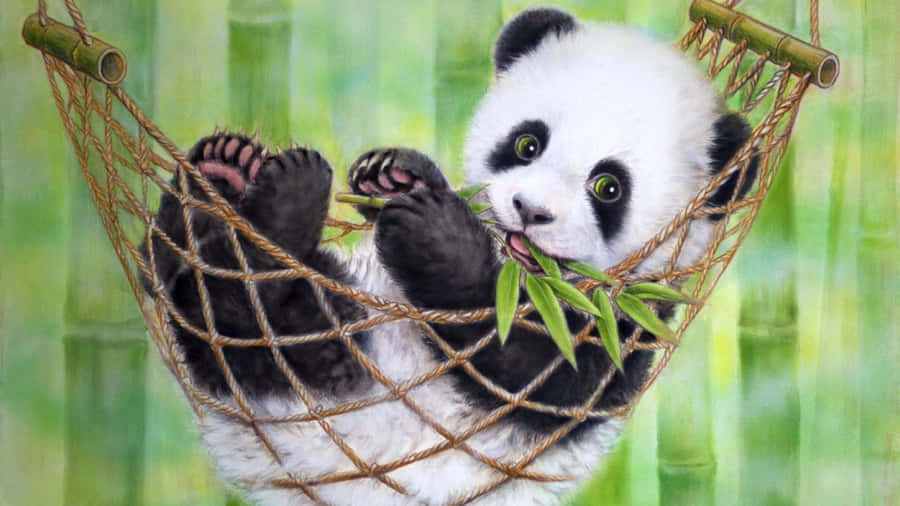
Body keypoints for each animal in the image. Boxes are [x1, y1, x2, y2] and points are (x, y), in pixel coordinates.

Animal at [142, 7, 753, 506]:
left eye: (608, 187)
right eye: (527, 143)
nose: (529, 211)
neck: (523, 277)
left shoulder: (618, 330)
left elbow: (521, 370)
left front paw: (433, 235)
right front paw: (396, 175)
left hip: (330, 372)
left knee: (253, 317)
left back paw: (280, 206)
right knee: (172, 277)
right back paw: (221, 174)